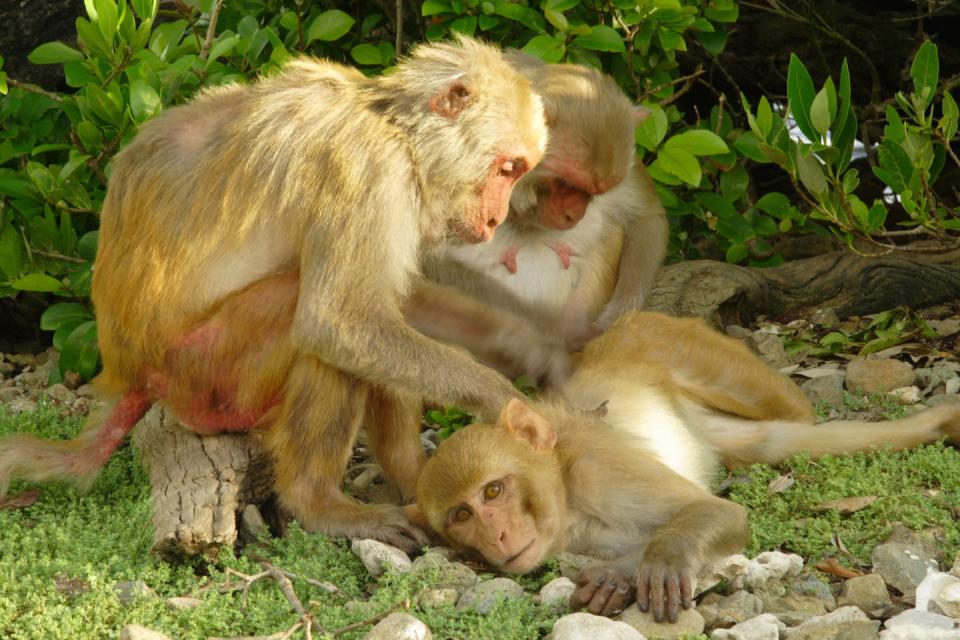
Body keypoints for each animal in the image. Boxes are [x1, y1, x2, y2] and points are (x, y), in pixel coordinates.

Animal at [0, 37, 564, 552]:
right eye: (509, 168)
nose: (495, 220)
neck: (393, 129)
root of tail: (132, 374)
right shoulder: (368, 171)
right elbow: (339, 322)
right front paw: (505, 401)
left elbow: (386, 307)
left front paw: (522, 345)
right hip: (206, 376)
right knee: (312, 326)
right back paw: (319, 504)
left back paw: (411, 477)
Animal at [414, 312, 960, 624]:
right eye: (461, 516)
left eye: (493, 491)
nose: (497, 536)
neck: (568, 498)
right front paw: (618, 576)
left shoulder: (600, 466)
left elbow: (711, 511)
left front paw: (653, 562)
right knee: (775, 442)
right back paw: (937, 424)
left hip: (682, 346)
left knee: (790, 415)